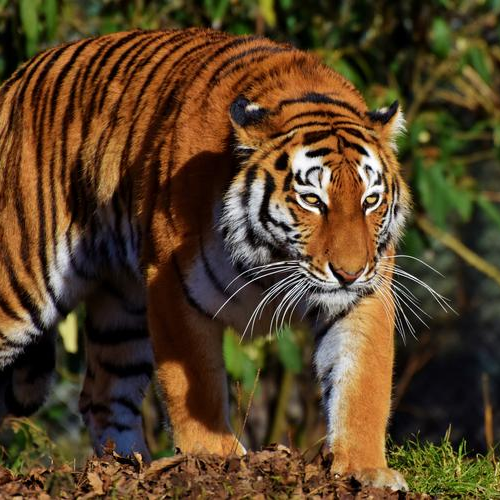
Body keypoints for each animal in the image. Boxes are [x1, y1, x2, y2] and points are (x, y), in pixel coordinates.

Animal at [0, 26, 408, 488]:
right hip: (21, 283)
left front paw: (366, 469)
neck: (271, 260)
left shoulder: (366, 296)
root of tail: (16, 79)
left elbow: (362, 384)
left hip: (123, 309)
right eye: (311, 200)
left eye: (370, 200)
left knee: (102, 396)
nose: (349, 273)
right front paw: (216, 458)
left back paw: (130, 468)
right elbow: (195, 382)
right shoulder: (173, 286)